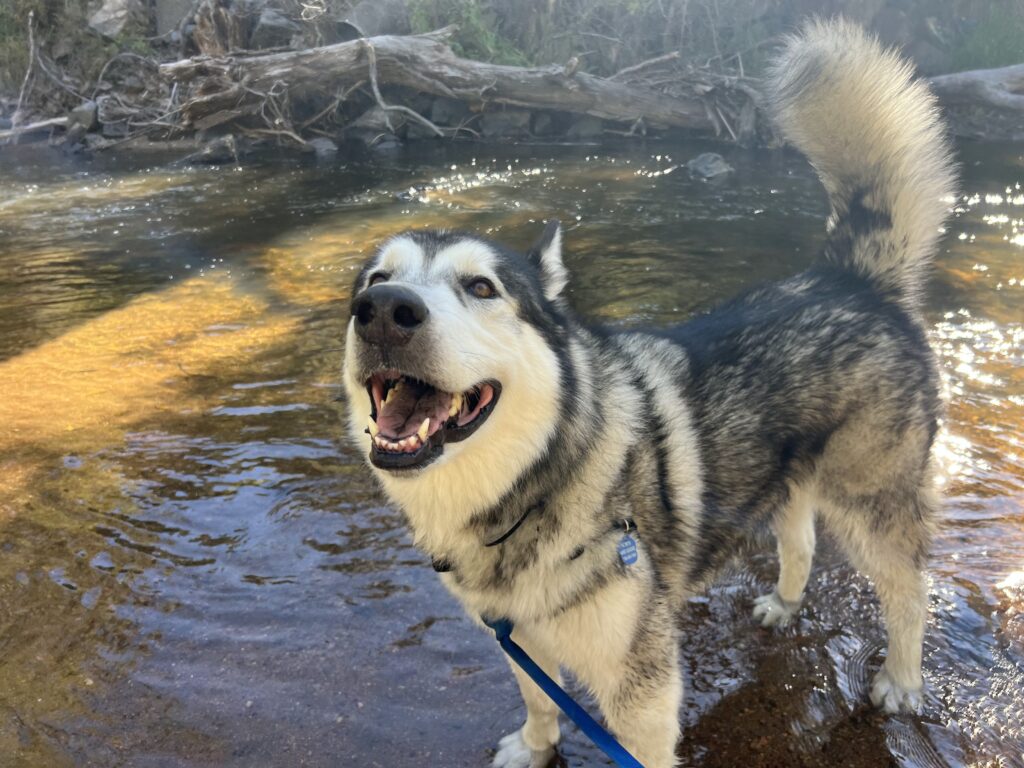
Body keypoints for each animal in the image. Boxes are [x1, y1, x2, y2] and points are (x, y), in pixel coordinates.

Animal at [342, 18, 950, 768]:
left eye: (481, 287)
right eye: (375, 280)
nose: (383, 311)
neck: (530, 485)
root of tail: (851, 279)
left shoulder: (642, 686)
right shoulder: (518, 637)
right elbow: (540, 700)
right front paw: (535, 747)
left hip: (872, 504)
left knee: (909, 589)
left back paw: (902, 678)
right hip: (787, 478)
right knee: (801, 541)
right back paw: (785, 603)